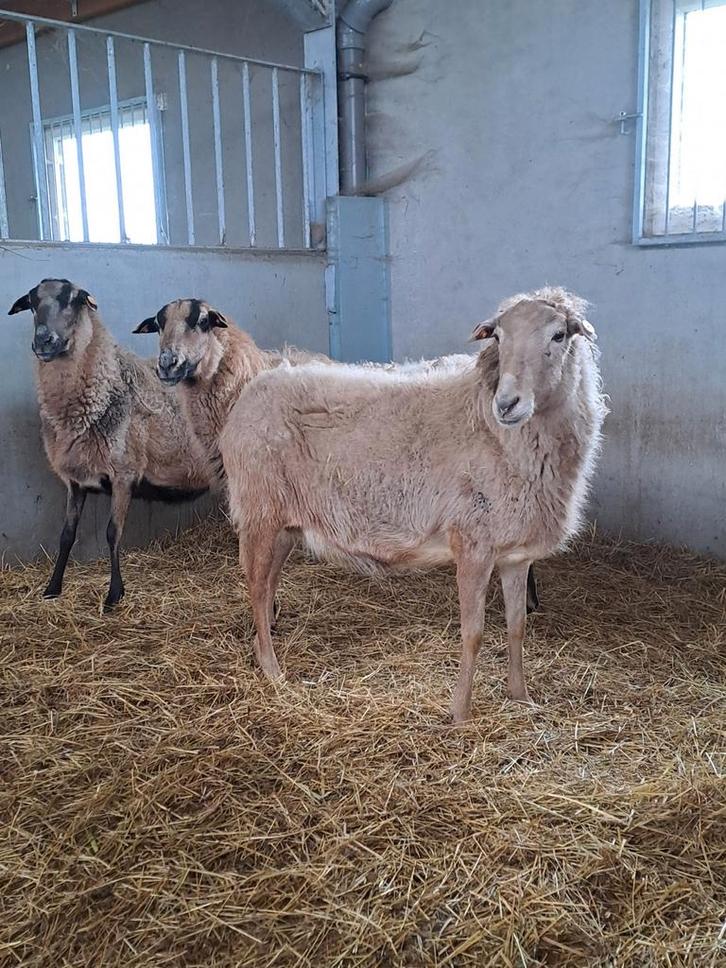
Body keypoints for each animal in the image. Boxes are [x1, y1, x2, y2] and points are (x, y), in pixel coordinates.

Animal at [8, 279, 210, 610]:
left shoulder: (124, 474)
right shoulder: (76, 479)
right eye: (32, 302)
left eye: (75, 299)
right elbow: (66, 534)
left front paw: (114, 595)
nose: (44, 341)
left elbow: (113, 533)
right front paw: (52, 587)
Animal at [219, 287, 606, 720]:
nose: (507, 404)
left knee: (268, 583)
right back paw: (272, 670)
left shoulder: (515, 555)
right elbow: (473, 634)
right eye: (499, 337)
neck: (498, 434)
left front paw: (520, 696)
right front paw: (460, 715)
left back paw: (262, 648)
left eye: (559, 335)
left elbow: (517, 626)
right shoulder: (472, 543)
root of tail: (256, 384)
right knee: (255, 587)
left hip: (284, 520)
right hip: (258, 507)